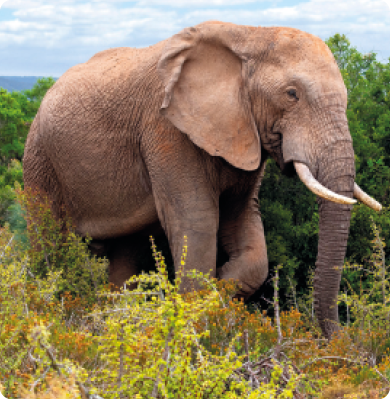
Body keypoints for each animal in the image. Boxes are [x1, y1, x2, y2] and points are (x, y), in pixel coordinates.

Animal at [23, 20, 380, 340]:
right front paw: (197, 310)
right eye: (292, 94)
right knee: (49, 242)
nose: (339, 339)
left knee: (126, 252)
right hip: (39, 157)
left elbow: (244, 225)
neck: (250, 35)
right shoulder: (166, 129)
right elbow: (197, 220)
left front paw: (218, 288)